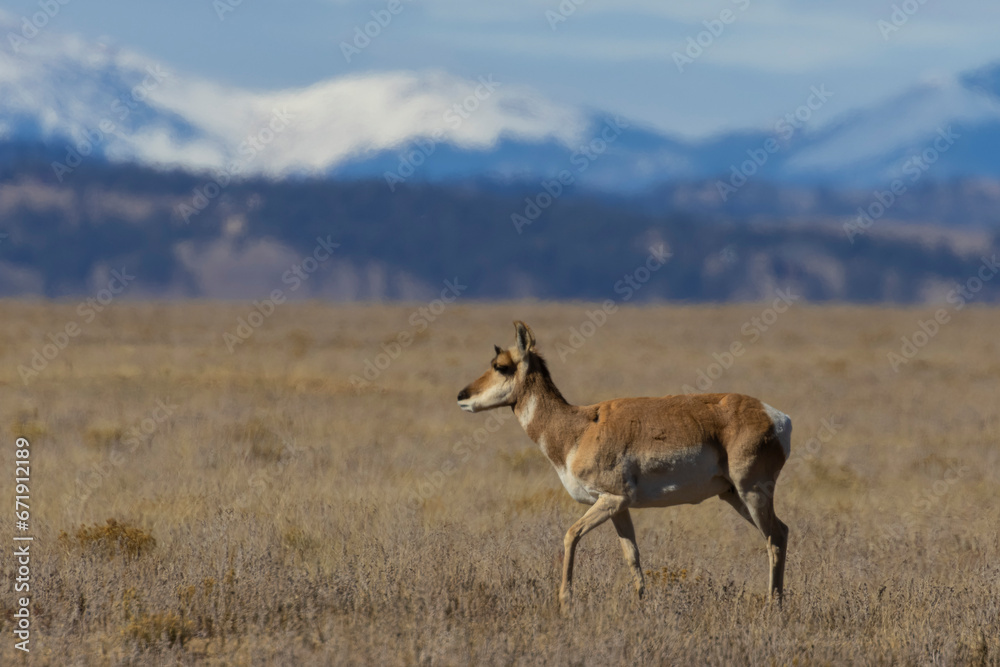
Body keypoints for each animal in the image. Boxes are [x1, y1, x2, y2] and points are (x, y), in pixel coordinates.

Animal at [456, 321, 791, 612]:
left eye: (501, 366)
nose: (461, 396)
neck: (578, 427)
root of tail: (775, 416)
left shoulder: (611, 499)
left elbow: (570, 534)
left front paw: (565, 602)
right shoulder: (619, 507)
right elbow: (632, 555)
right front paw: (640, 604)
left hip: (752, 493)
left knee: (774, 539)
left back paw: (772, 608)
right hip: (733, 496)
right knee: (782, 532)